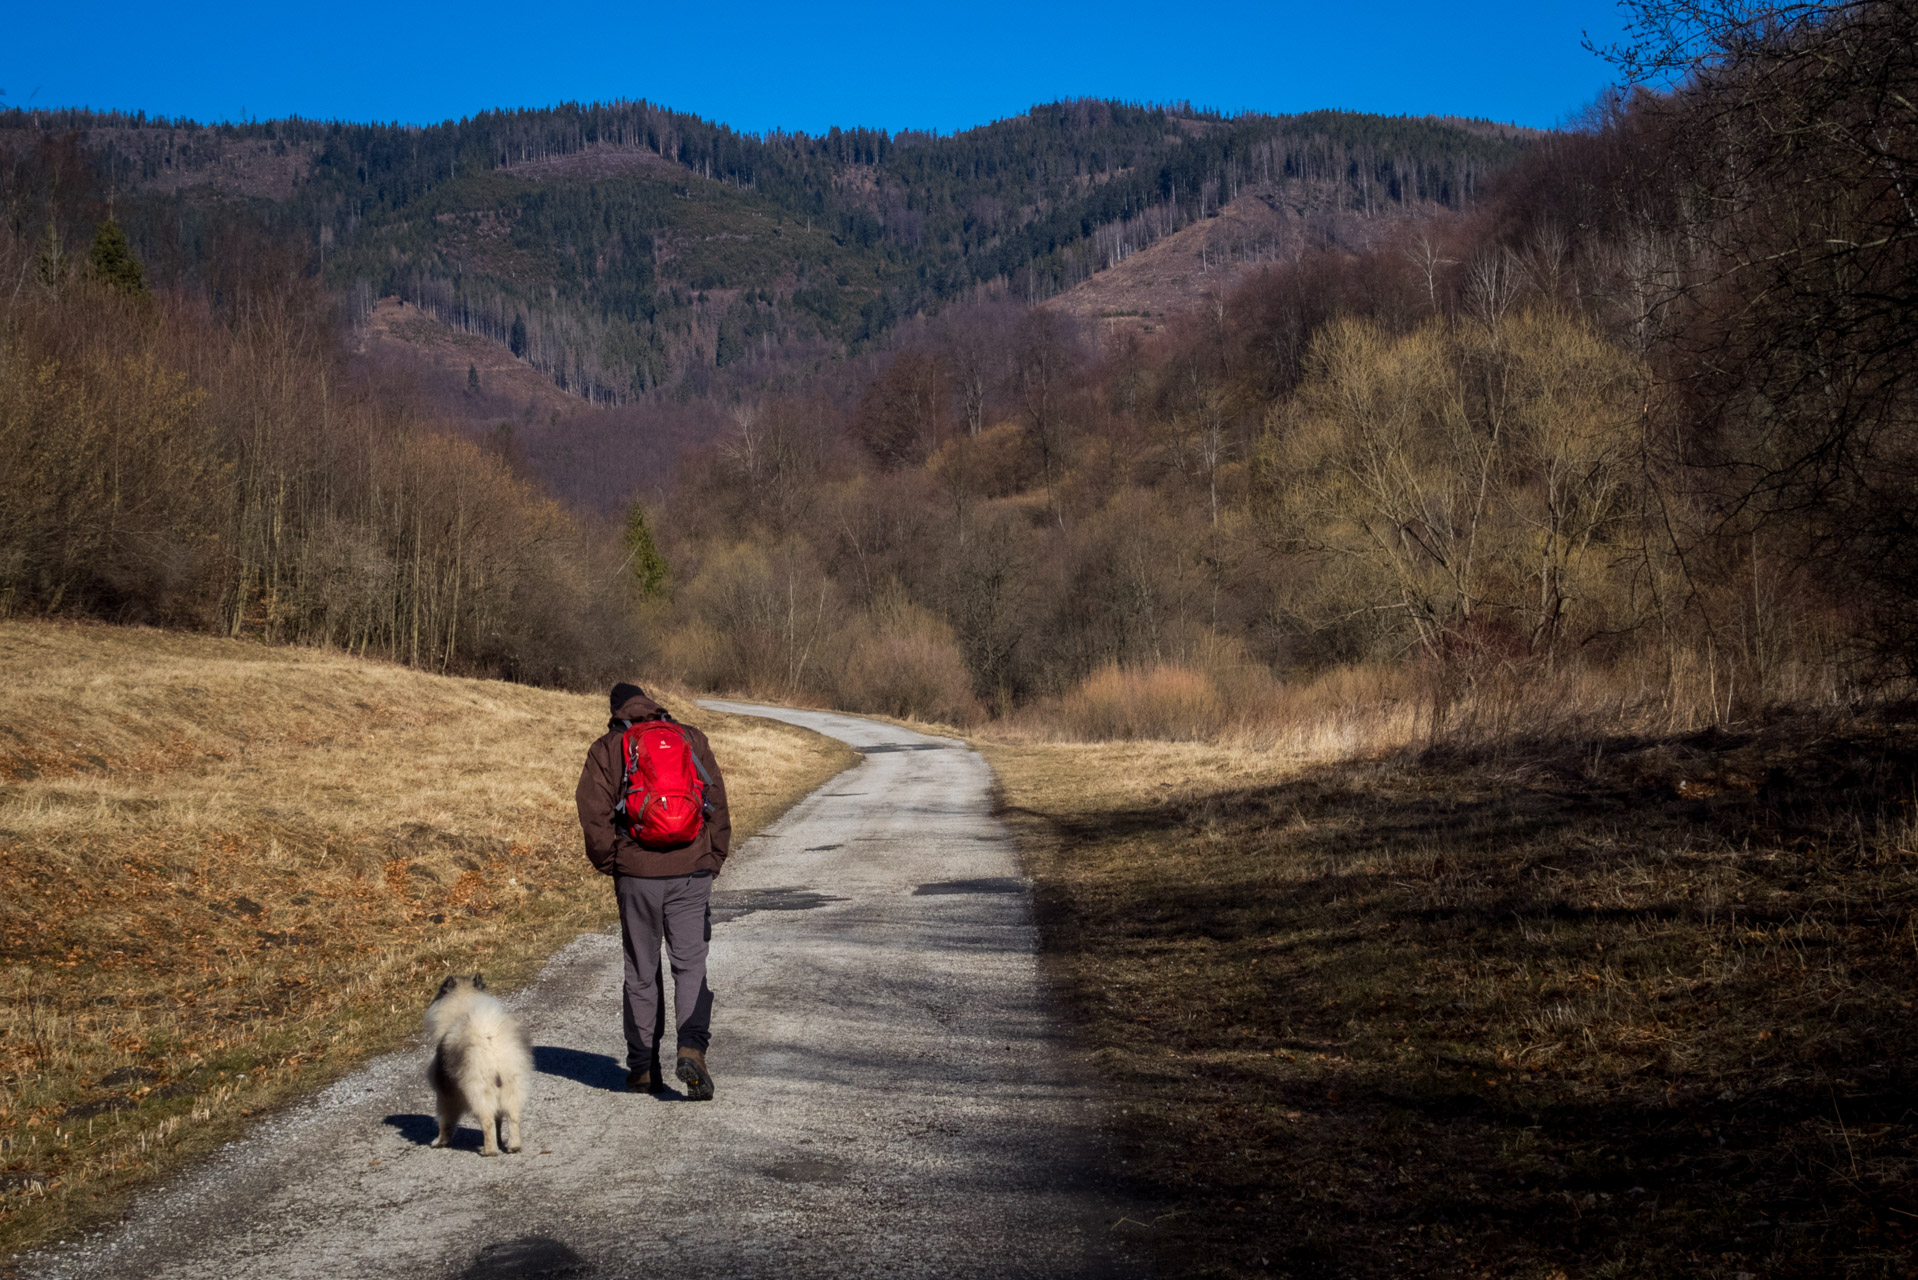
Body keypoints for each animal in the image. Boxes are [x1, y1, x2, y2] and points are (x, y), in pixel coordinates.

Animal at [425, 974, 529, 1159]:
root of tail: (489, 1041)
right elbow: (498, 1121)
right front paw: (499, 1140)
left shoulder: (445, 1095)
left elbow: (445, 1121)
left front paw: (439, 1142)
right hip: (511, 1086)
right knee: (513, 1117)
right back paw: (513, 1146)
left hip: (478, 1089)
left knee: (487, 1120)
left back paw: (490, 1150)